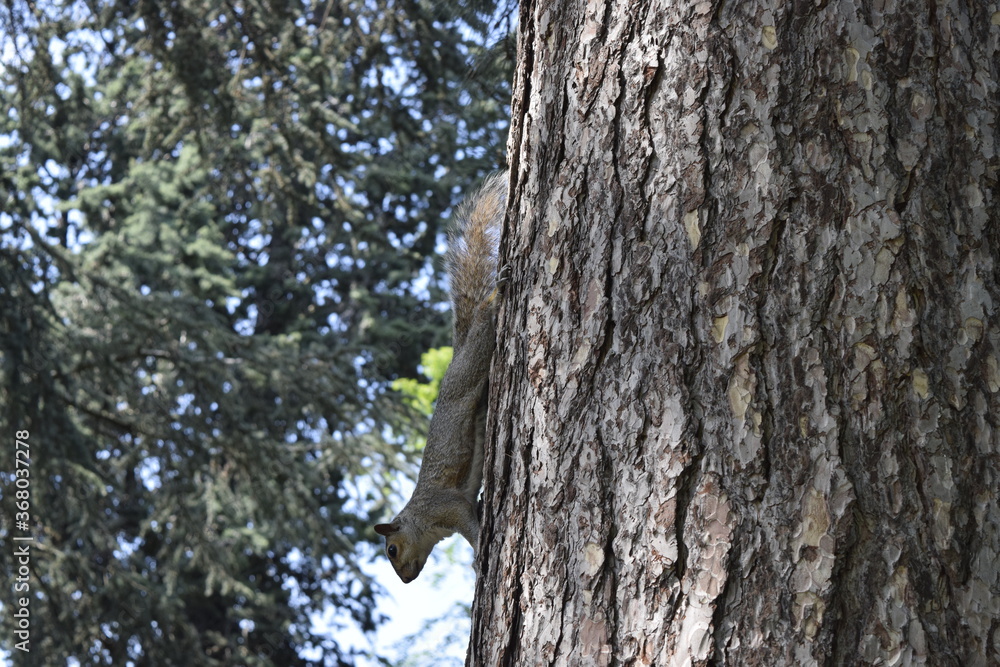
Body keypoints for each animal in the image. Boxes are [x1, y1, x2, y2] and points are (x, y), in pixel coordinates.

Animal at [374, 172, 506, 583]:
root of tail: (457, 353)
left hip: (471, 366)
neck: (421, 517)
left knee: (485, 324)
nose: (405, 579)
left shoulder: (447, 507)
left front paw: (480, 554)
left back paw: (496, 295)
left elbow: (471, 527)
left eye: (392, 549)